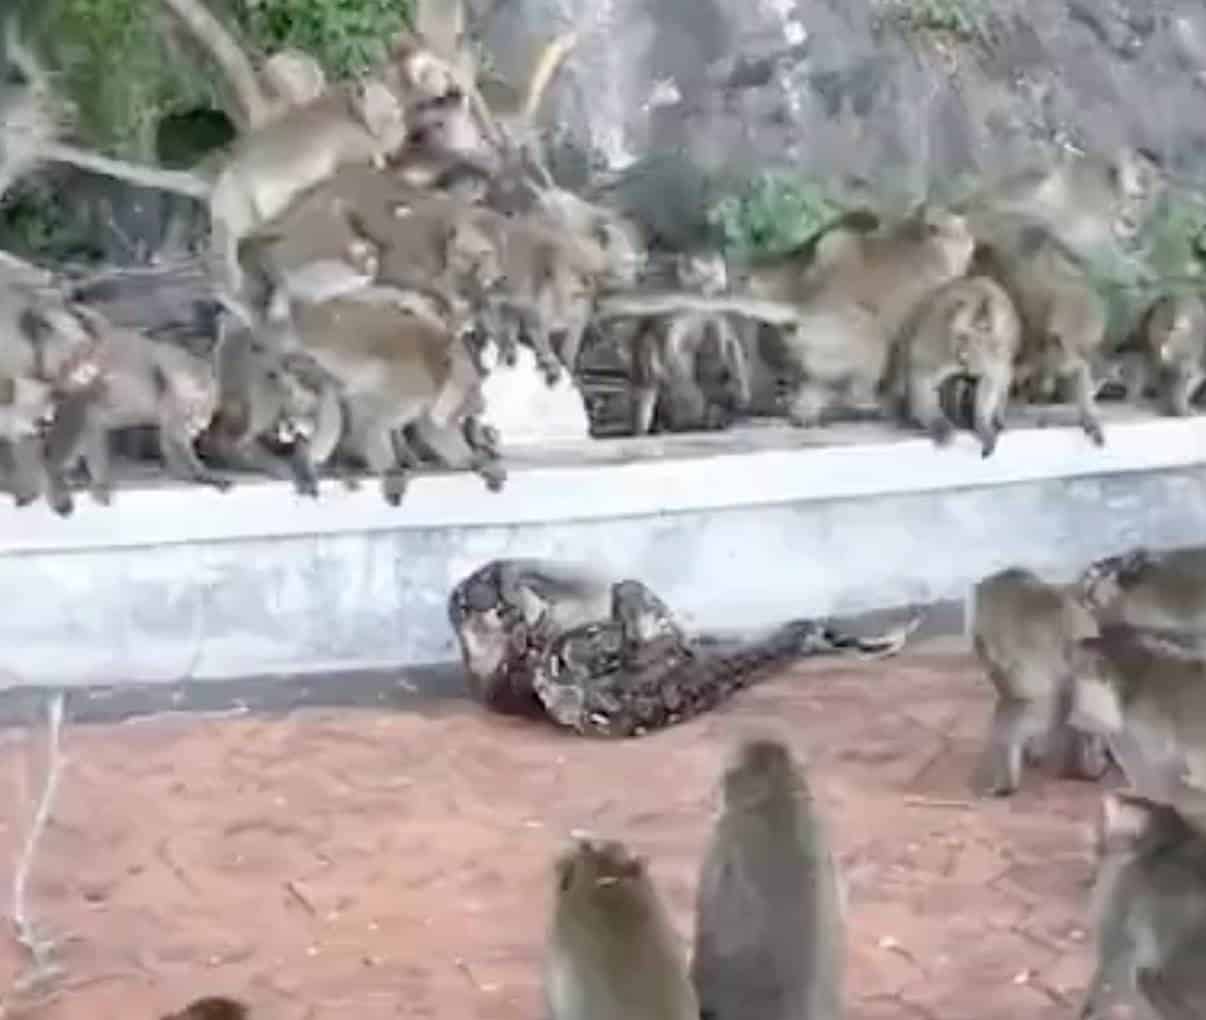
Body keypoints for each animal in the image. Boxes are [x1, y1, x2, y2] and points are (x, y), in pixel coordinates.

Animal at [894, 275, 1022, 456]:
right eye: (963, 337)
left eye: (980, 339)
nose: (964, 355)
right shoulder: (938, 341)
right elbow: (921, 372)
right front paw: (938, 424)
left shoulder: (998, 350)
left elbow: (990, 378)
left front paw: (982, 423)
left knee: (1001, 374)